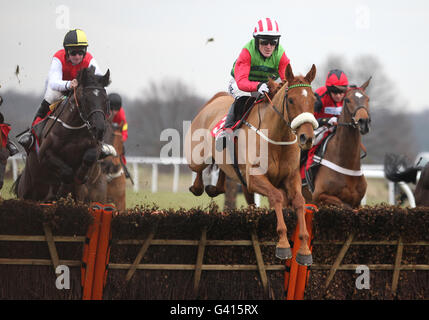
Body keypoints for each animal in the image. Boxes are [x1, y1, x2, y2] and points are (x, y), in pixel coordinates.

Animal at [13, 66, 110, 202]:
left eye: (106, 100)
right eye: (85, 99)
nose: (99, 129)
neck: (73, 128)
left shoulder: (95, 147)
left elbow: (89, 157)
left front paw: (80, 176)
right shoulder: (44, 154)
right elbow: (67, 173)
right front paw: (62, 190)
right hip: (26, 192)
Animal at [186, 63, 320, 264]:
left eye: (313, 100)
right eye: (290, 100)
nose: (307, 137)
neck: (275, 137)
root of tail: (214, 99)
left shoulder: (291, 177)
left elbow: (299, 201)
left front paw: (304, 249)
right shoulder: (255, 178)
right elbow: (276, 197)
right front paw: (282, 244)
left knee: (224, 172)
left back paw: (214, 188)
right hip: (196, 157)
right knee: (198, 172)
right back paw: (198, 187)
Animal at [300, 77, 372, 208]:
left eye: (367, 98)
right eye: (347, 100)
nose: (364, 122)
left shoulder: (358, 202)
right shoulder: (319, 196)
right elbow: (344, 205)